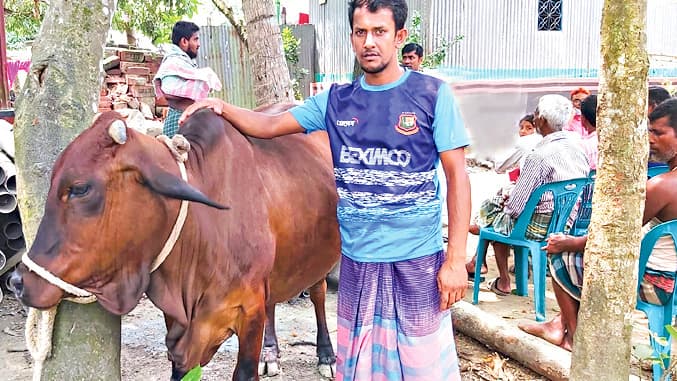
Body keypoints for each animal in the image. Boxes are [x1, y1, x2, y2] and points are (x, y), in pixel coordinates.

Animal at [9, 107, 338, 380]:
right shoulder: (177, 327)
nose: (17, 281)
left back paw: (326, 355)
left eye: (79, 188)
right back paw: (270, 354)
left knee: (319, 293)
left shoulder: (250, 310)